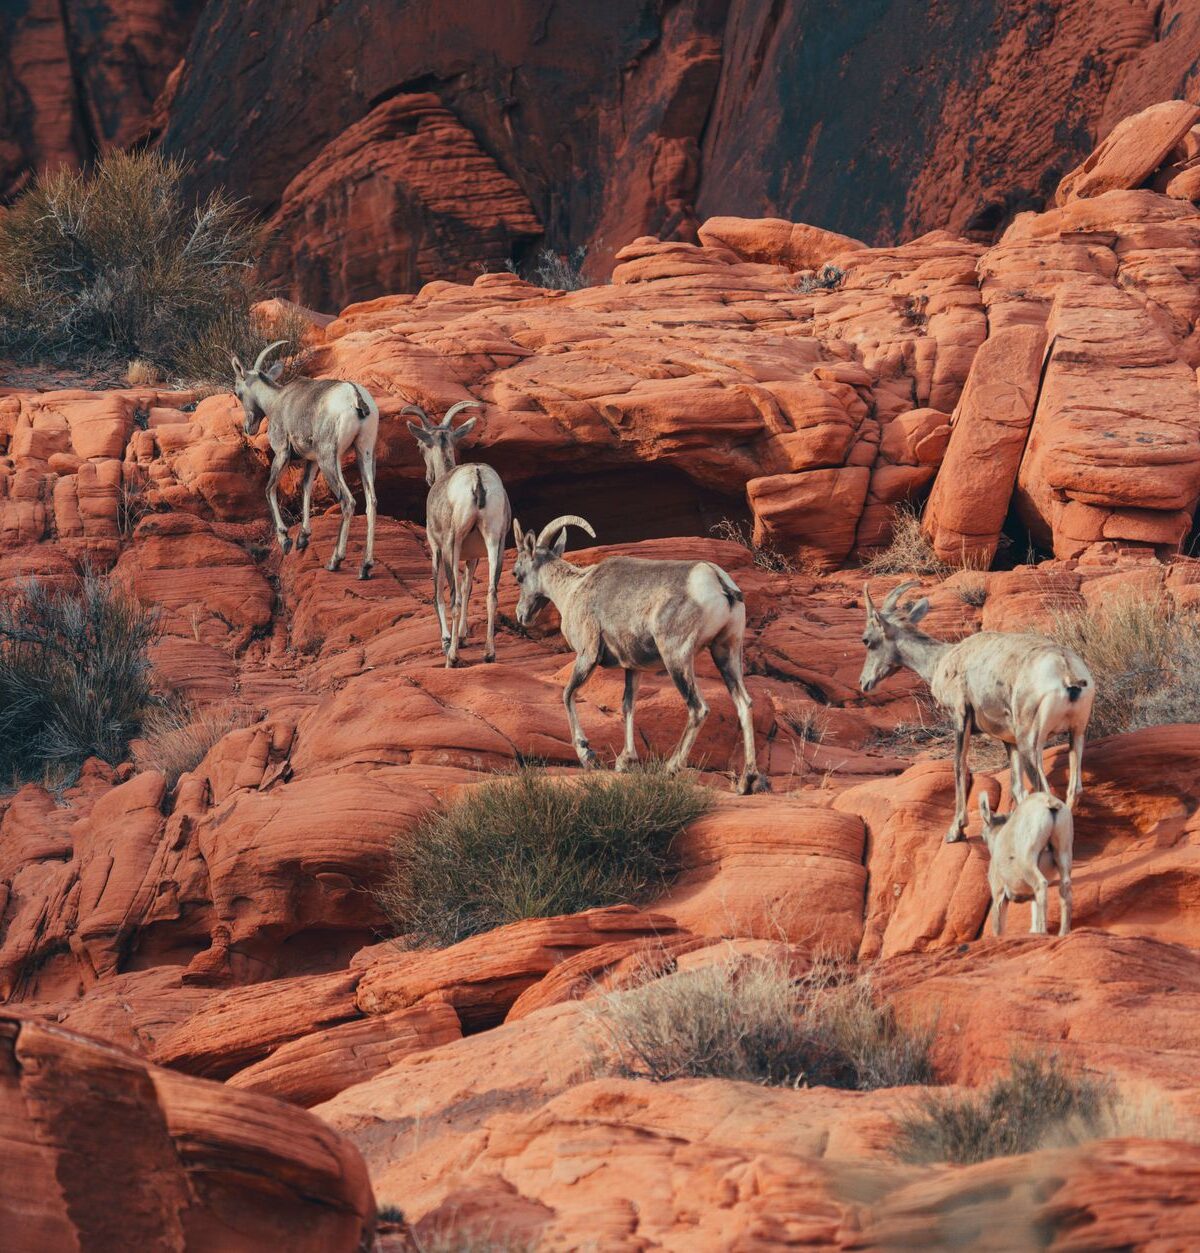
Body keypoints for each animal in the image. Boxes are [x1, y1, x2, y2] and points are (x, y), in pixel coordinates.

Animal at [232, 340, 379, 579]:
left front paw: (286, 540)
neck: (278, 400)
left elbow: (269, 489)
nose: (248, 428)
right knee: (371, 502)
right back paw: (365, 567)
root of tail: (355, 397)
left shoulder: (282, 453)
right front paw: (302, 538)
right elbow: (306, 487)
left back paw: (334, 561)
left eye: (237, 393)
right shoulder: (312, 461)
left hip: (329, 458)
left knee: (348, 501)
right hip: (364, 453)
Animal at [405, 401, 511, 667]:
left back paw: (452, 657)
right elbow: (468, 588)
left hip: (452, 545)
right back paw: (489, 653)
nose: (428, 477)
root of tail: (477, 478)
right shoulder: (473, 556)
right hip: (495, 542)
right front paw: (462, 637)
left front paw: (447, 641)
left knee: (453, 598)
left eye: (419, 446)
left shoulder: (437, 548)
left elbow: (440, 594)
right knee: (491, 594)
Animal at [511, 514, 767, 793]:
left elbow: (568, 695)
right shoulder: (632, 668)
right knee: (744, 704)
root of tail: (716, 579)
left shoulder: (587, 656)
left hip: (676, 657)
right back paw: (747, 781)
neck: (574, 589)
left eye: (517, 575)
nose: (522, 615)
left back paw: (670, 769)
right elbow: (627, 706)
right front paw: (626, 761)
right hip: (726, 651)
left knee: (699, 708)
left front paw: (587, 754)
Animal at [859, 580, 1094, 842]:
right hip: (1076, 733)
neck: (942, 660)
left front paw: (955, 830)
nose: (864, 683)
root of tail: (1067, 672)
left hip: (1031, 743)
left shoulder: (960, 717)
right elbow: (1017, 788)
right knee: (1073, 789)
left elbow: (959, 766)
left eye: (866, 640)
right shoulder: (1009, 740)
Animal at [978, 792, 1073, 936]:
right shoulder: (1031, 897)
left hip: (1028, 861)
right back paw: (1063, 933)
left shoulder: (999, 894)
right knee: (1065, 887)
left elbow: (998, 929)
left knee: (1041, 884)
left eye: (982, 836)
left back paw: (1043, 933)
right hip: (1063, 854)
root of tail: (1049, 801)